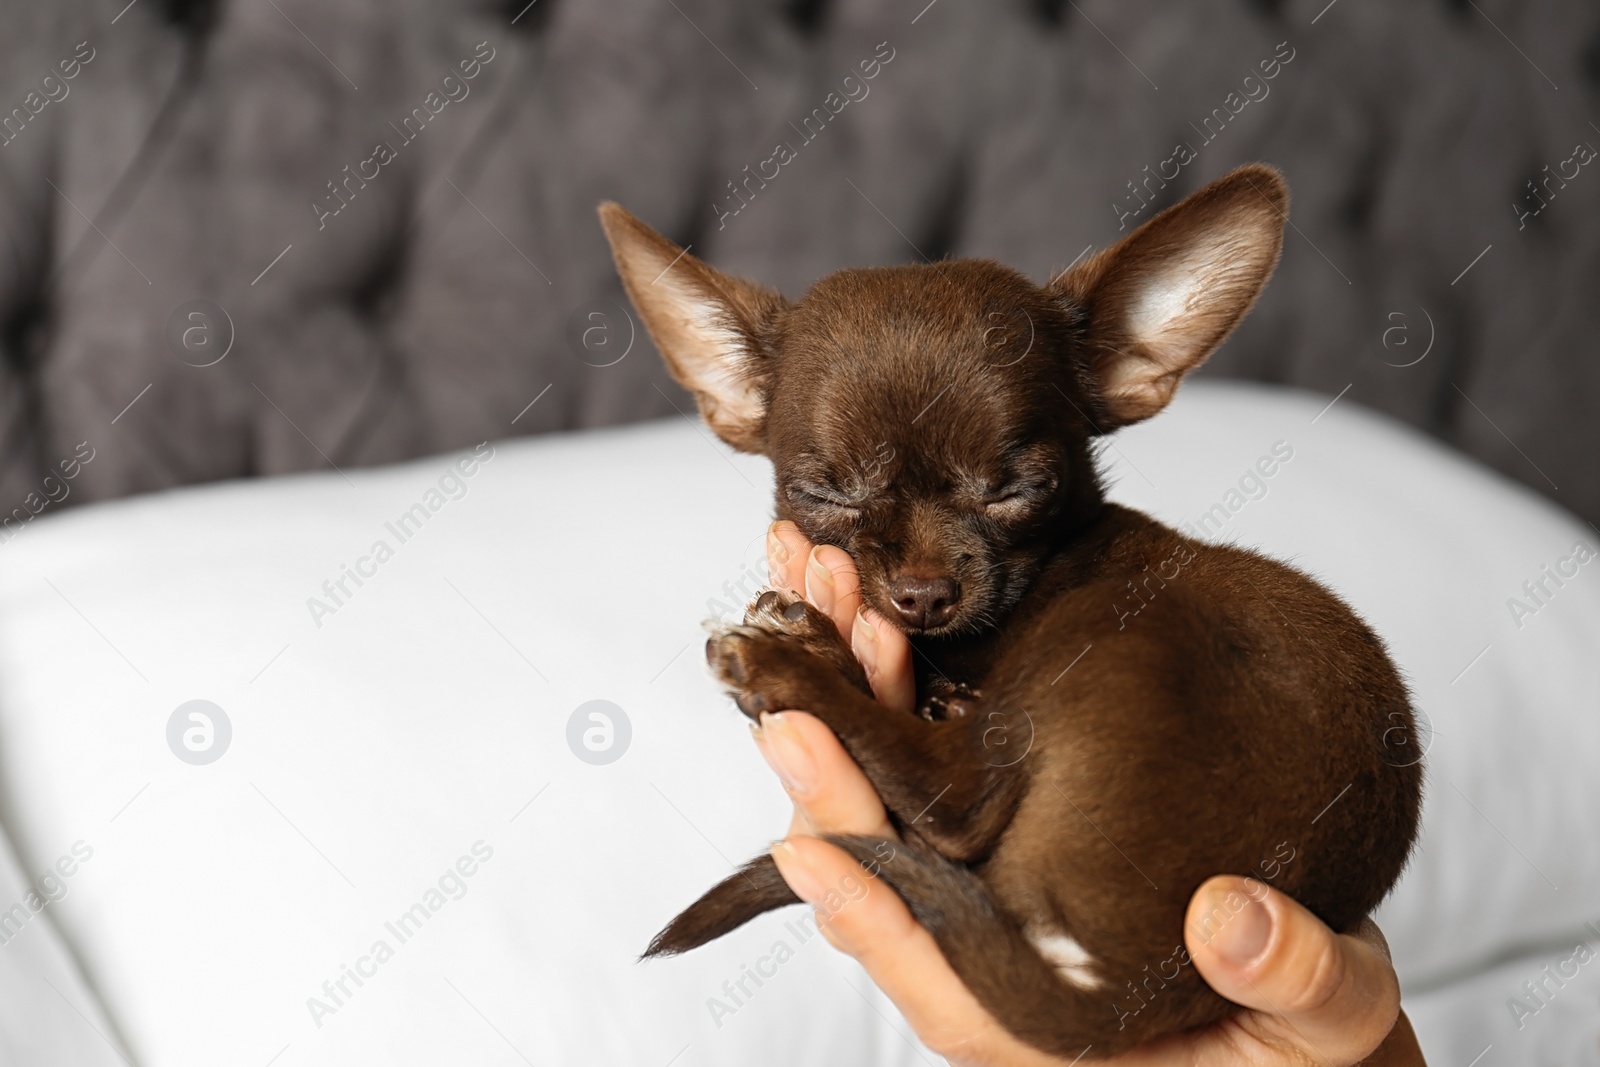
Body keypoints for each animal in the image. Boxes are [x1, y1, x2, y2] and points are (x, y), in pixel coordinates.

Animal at [601, 167, 1427, 1062]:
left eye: (1017, 489)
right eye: (826, 493)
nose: (923, 593)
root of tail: (1148, 985)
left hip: (1114, 634)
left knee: (960, 801)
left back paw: (798, 660)